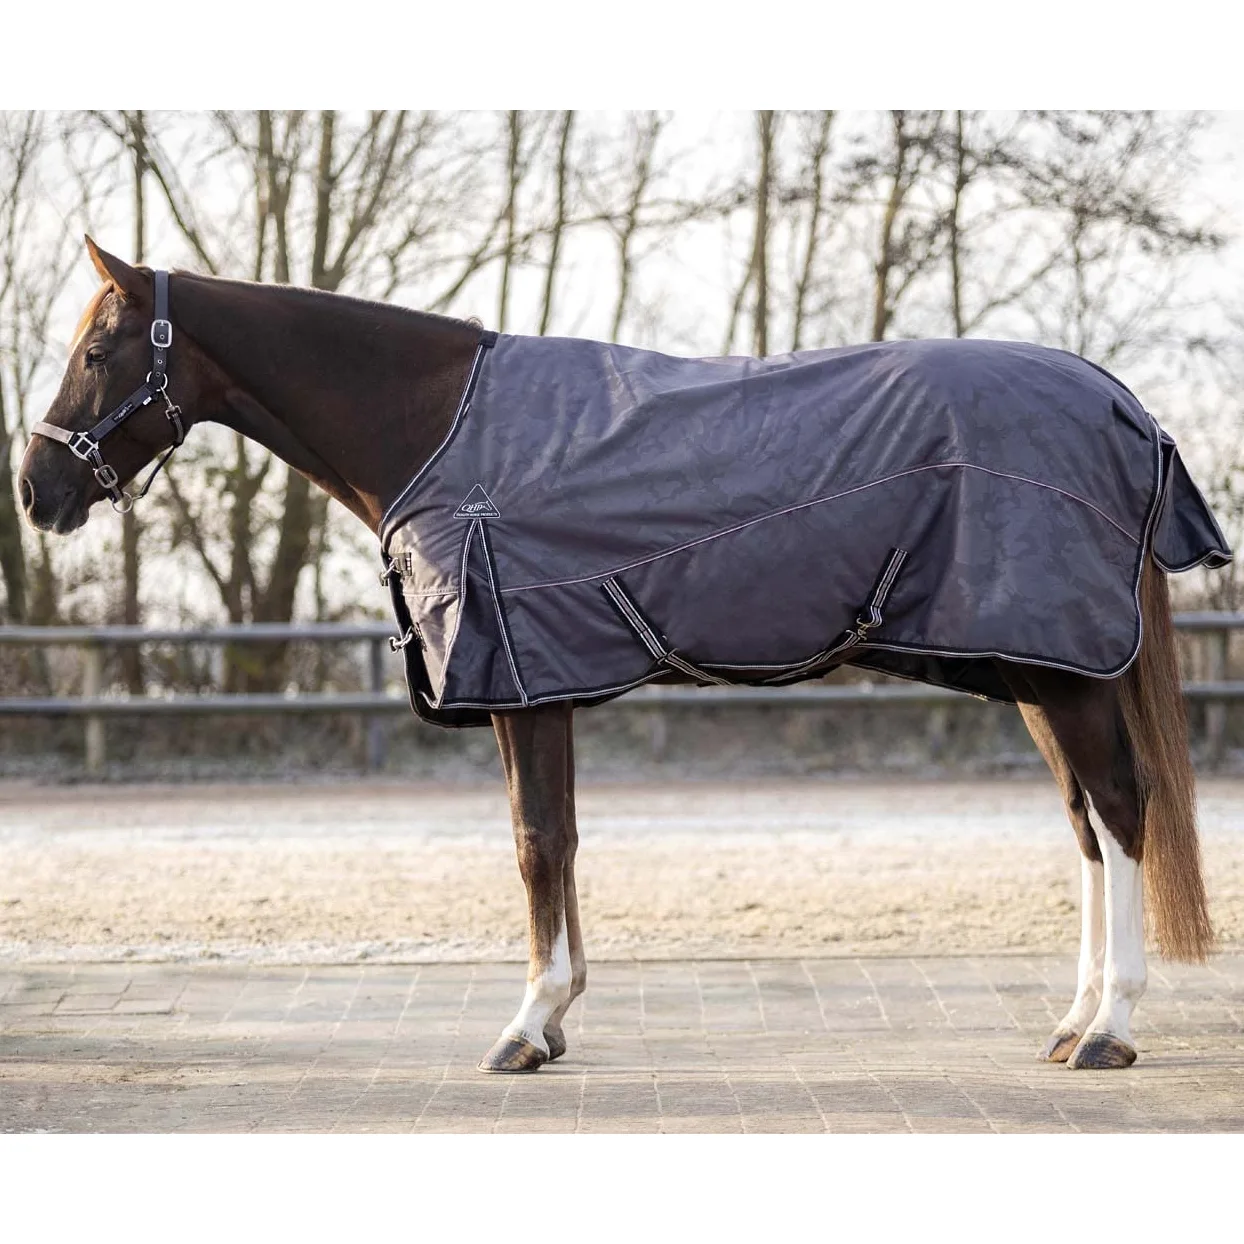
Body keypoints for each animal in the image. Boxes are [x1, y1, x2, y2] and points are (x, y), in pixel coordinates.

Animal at [18, 238, 1227, 1074]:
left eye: (96, 350)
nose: (37, 491)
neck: (435, 426)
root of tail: (1125, 405)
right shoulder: (539, 678)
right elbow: (557, 842)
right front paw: (553, 1018)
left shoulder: (521, 683)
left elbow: (535, 844)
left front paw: (528, 1023)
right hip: (1035, 669)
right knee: (1085, 825)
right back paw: (1071, 1018)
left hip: (1061, 672)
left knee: (1122, 809)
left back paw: (1110, 1028)